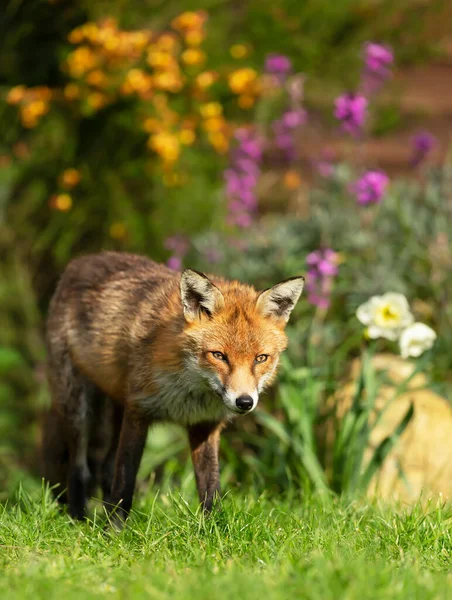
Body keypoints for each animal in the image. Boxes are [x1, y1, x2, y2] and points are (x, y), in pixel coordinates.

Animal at [42, 251, 304, 524]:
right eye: (219, 355)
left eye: (261, 358)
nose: (244, 402)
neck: (189, 393)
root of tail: (85, 259)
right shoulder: (138, 411)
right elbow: (125, 481)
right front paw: (114, 529)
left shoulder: (204, 425)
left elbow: (210, 488)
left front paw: (214, 528)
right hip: (78, 407)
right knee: (80, 467)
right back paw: (77, 519)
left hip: (116, 406)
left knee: (105, 467)